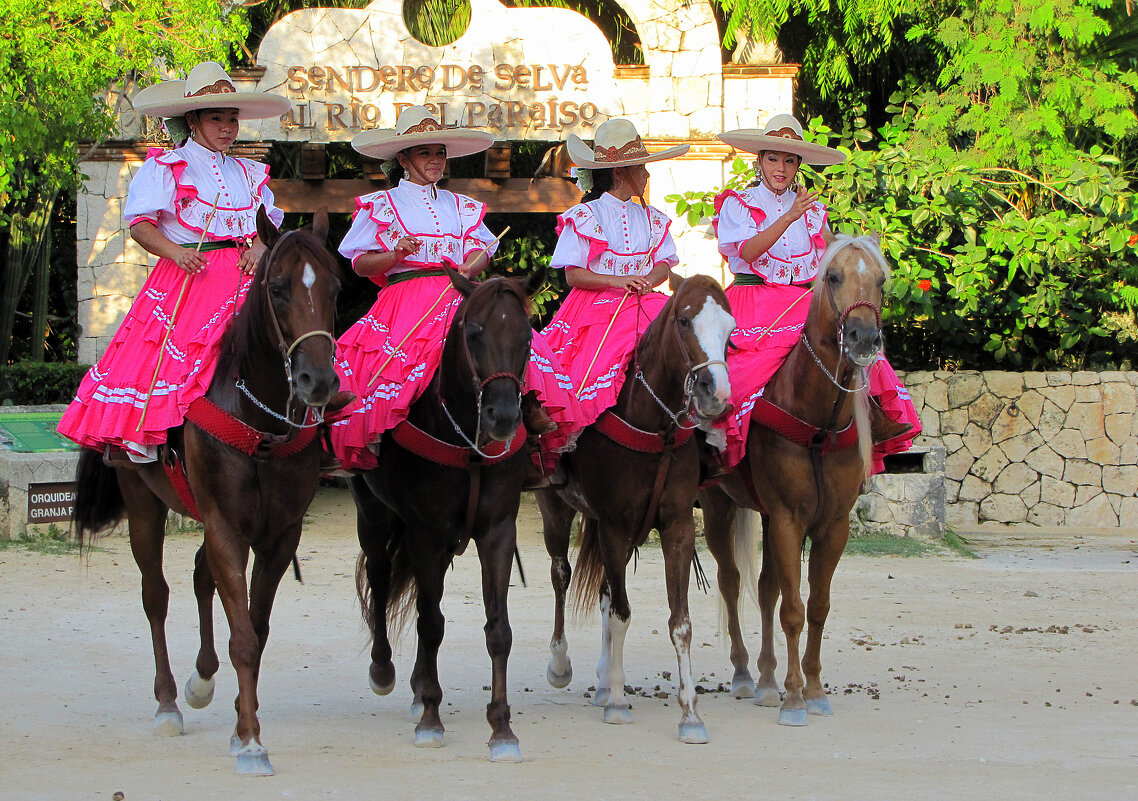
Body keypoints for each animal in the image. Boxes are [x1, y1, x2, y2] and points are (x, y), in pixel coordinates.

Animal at [72, 208, 341, 773]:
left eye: (334, 287)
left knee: (200, 576)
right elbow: (242, 635)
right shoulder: (224, 526)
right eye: (278, 289)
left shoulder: (279, 535)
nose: (317, 381)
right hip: (144, 506)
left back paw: (201, 678)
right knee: (156, 596)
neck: (260, 420)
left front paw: (242, 724)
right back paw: (169, 703)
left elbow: (256, 630)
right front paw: (252, 741)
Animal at [348, 268, 543, 764]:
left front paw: (502, 728)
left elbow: (497, 629)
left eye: (526, 336)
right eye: (473, 333)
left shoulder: (497, 532)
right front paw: (432, 720)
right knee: (381, 578)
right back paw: (385, 670)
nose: (502, 416)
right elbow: (431, 623)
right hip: (372, 514)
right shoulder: (425, 533)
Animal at [534, 274, 732, 746]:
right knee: (561, 574)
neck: (654, 426)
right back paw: (562, 666)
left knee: (605, 591)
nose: (716, 394)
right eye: (684, 321)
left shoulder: (676, 527)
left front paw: (689, 714)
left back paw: (605, 681)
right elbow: (622, 613)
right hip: (556, 509)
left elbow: (679, 622)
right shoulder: (614, 526)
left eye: (731, 330)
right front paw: (619, 704)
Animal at [691, 229, 887, 728]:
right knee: (731, 581)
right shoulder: (786, 519)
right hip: (719, 507)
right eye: (833, 276)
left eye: (881, 281)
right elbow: (793, 610)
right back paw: (745, 675)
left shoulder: (831, 525)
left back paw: (765, 679)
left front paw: (814, 690)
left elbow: (815, 606)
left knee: (764, 590)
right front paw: (796, 699)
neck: (817, 419)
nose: (863, 337)